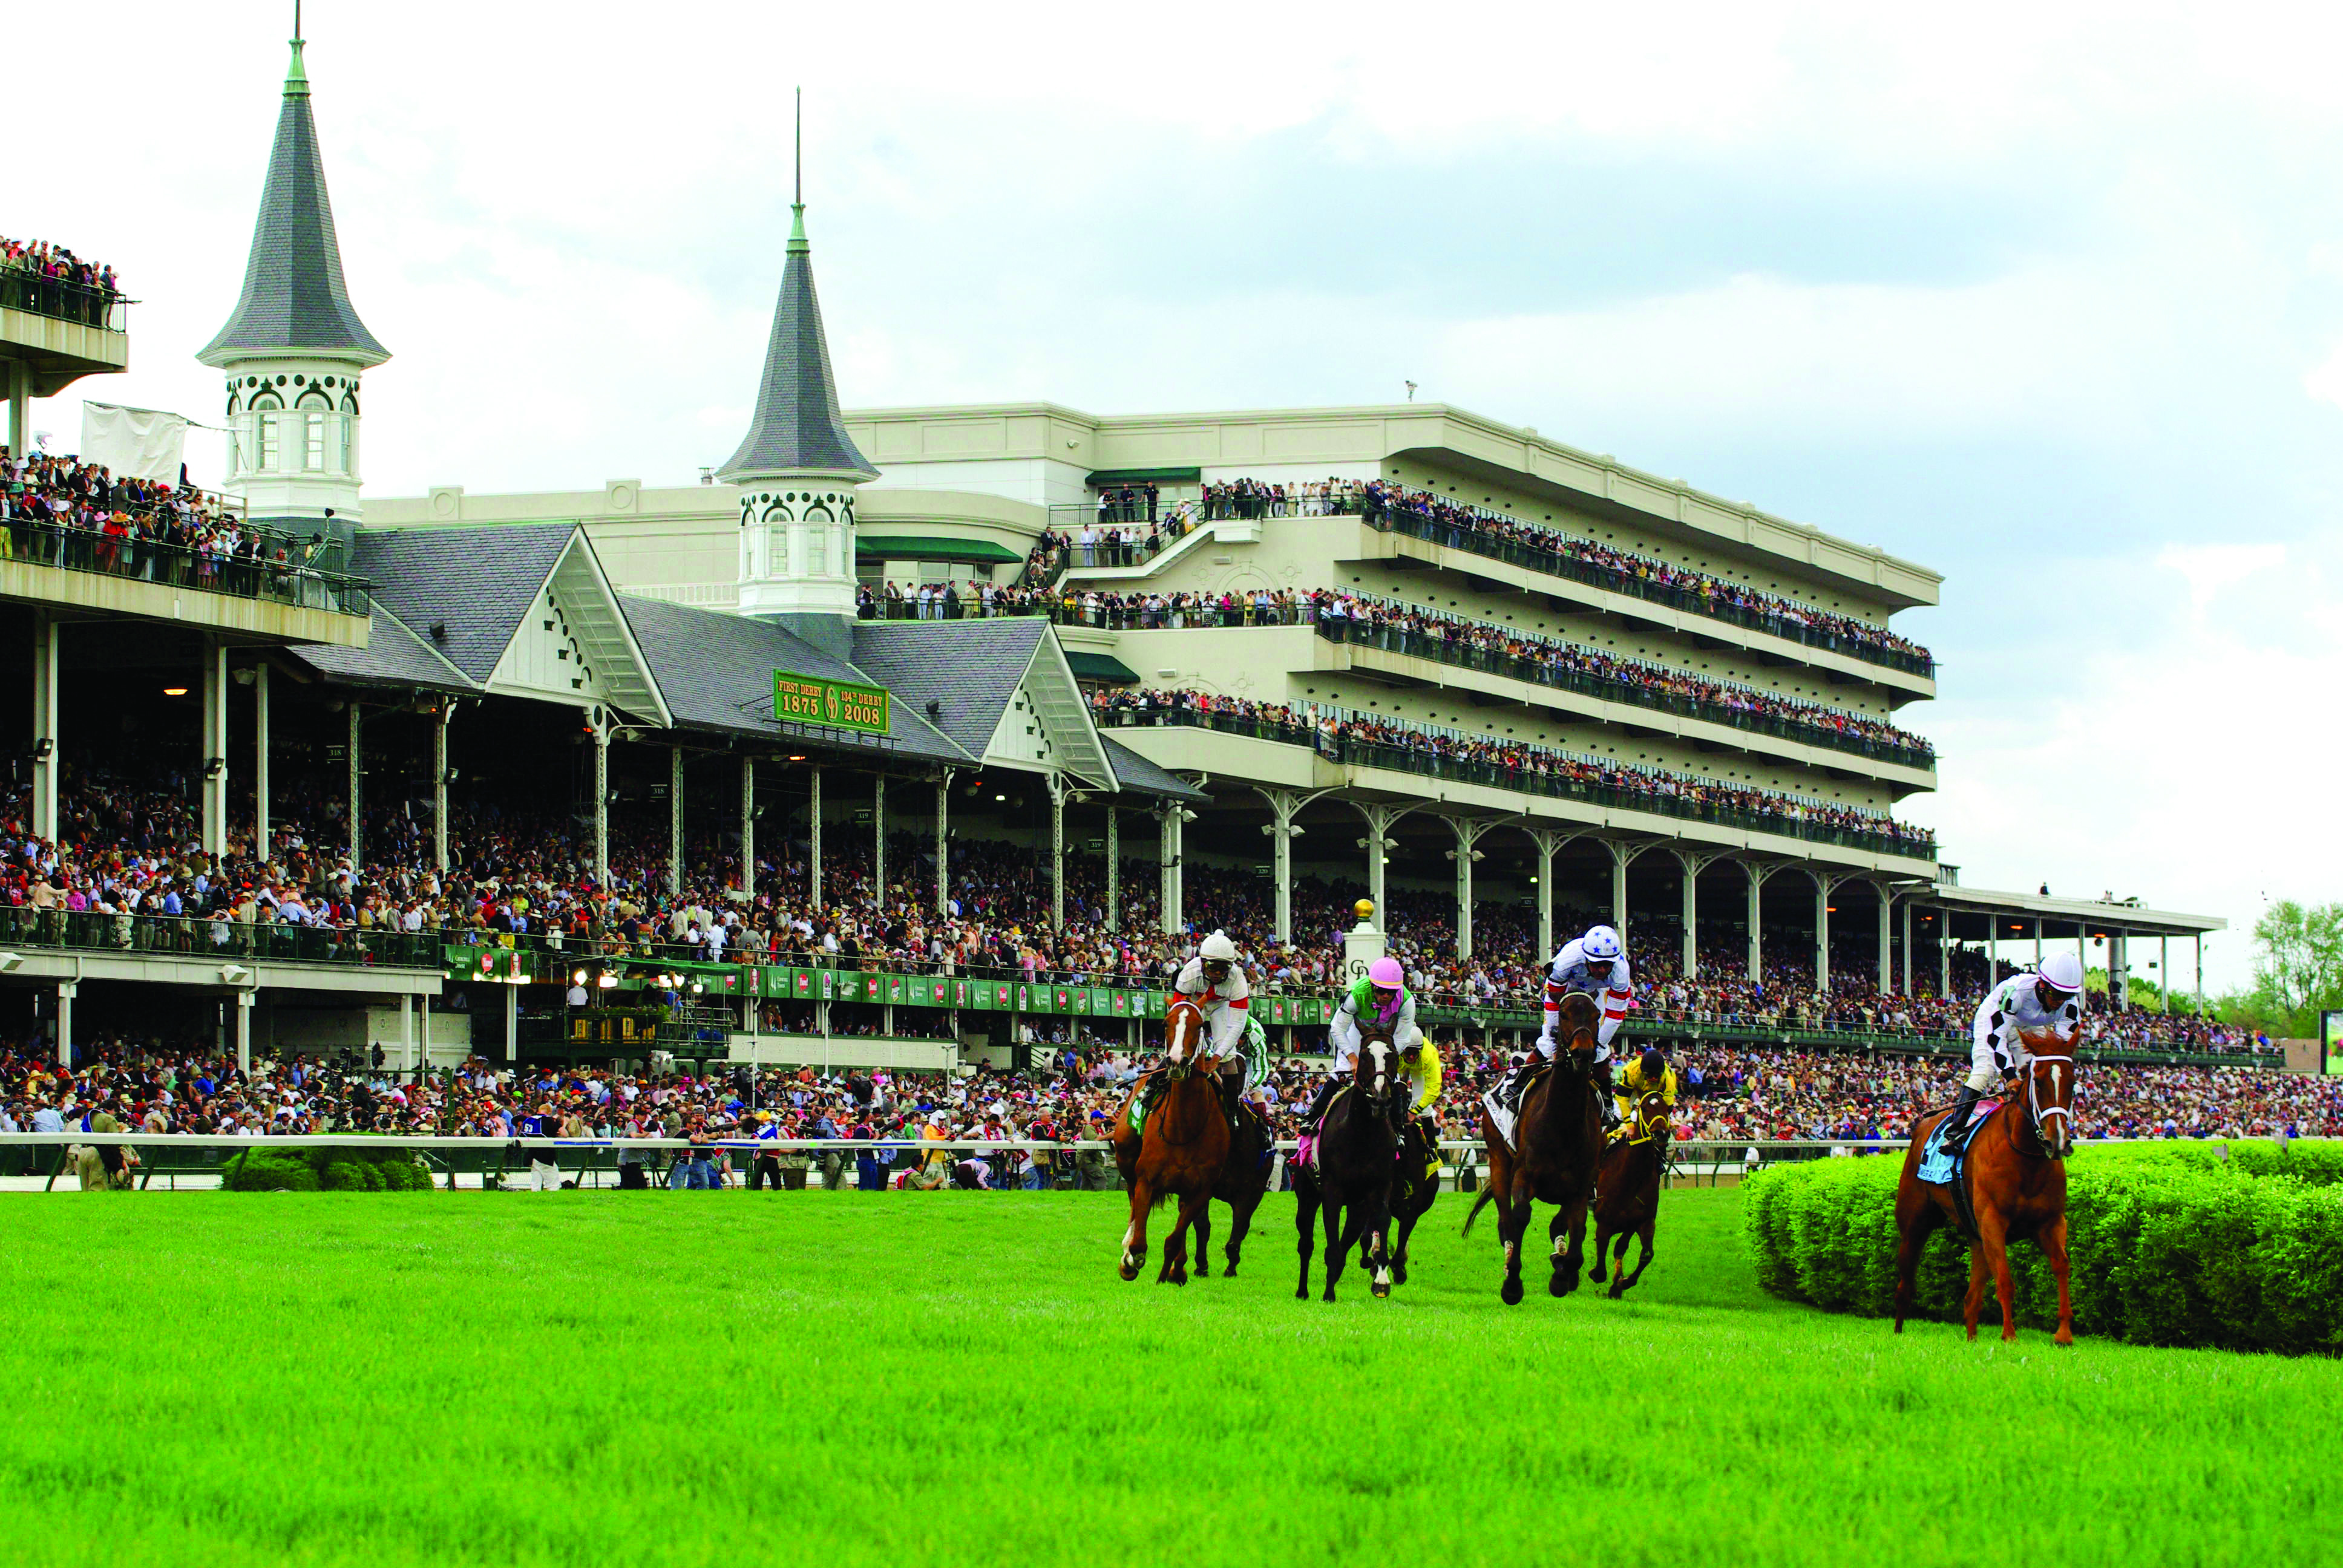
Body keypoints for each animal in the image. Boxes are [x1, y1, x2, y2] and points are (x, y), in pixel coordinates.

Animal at [1110, 998, 1237, 1275]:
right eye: (1165, 1023)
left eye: (1200, 1026)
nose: (1176, 1061)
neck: (1183, 1129)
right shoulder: (1146, 1179)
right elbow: (1139, 1244)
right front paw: (1130, 1260)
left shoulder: (1201, 1190)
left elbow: (1175, 1238)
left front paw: (1174, 1273)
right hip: (1126, 1155)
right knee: (1132, 1202)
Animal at [1293, 1022, 1396, 1303]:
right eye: (1365, 1056)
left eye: (1393, 1055)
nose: (1380, 1099)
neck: (1362, 1133)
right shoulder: (1332, 1191)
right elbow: (1330, 1243)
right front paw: (1329, 1293)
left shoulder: (1379, 1186)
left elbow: (1382, 1220)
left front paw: (1381, 1280)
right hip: (1307, 1193)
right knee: (1306, 1243)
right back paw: (1303, 1290)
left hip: (1357, 1205)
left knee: (1349, 1236)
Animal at [1462, 989, 1611, 1312]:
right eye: (1564, 1014)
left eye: (1597, 1015)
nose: (1583, 1054)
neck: (1562, 1124)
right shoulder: (1523, 1176)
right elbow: (1519, 1217)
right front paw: (1512, 1284)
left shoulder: (1581, 1186)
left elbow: (1576, 1234)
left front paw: (1562, 1275)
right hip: (1498, 1160)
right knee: (1505, 1221)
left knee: (1558, 1226)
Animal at [1593, 1087, 1668, 1293]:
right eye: (1645, 1108)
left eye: (1667, 1108)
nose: (1662, 1134)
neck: (1632, 1177)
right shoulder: (1604, 1221)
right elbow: (1601, 1257)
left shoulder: (1641, 1221)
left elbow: (1642, 1253)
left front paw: (1621, 1283)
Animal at [1893, 1027, 2080, 1350]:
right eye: (2039, 1080)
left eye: (2072, 1081)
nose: (2056, 1141)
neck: (2026, 1159)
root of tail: (1923, 1124)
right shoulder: (1993, 1220)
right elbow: (2005, 1278)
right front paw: (2009, 1335)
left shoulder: (2051, 1222)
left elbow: (2061, 1266)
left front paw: (2064, 1333)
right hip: (1915, 1222)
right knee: (1906, 1282)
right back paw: (1899, 1333)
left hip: (1975, 1234)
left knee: (1972, 1298)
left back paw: (1971, 1337)